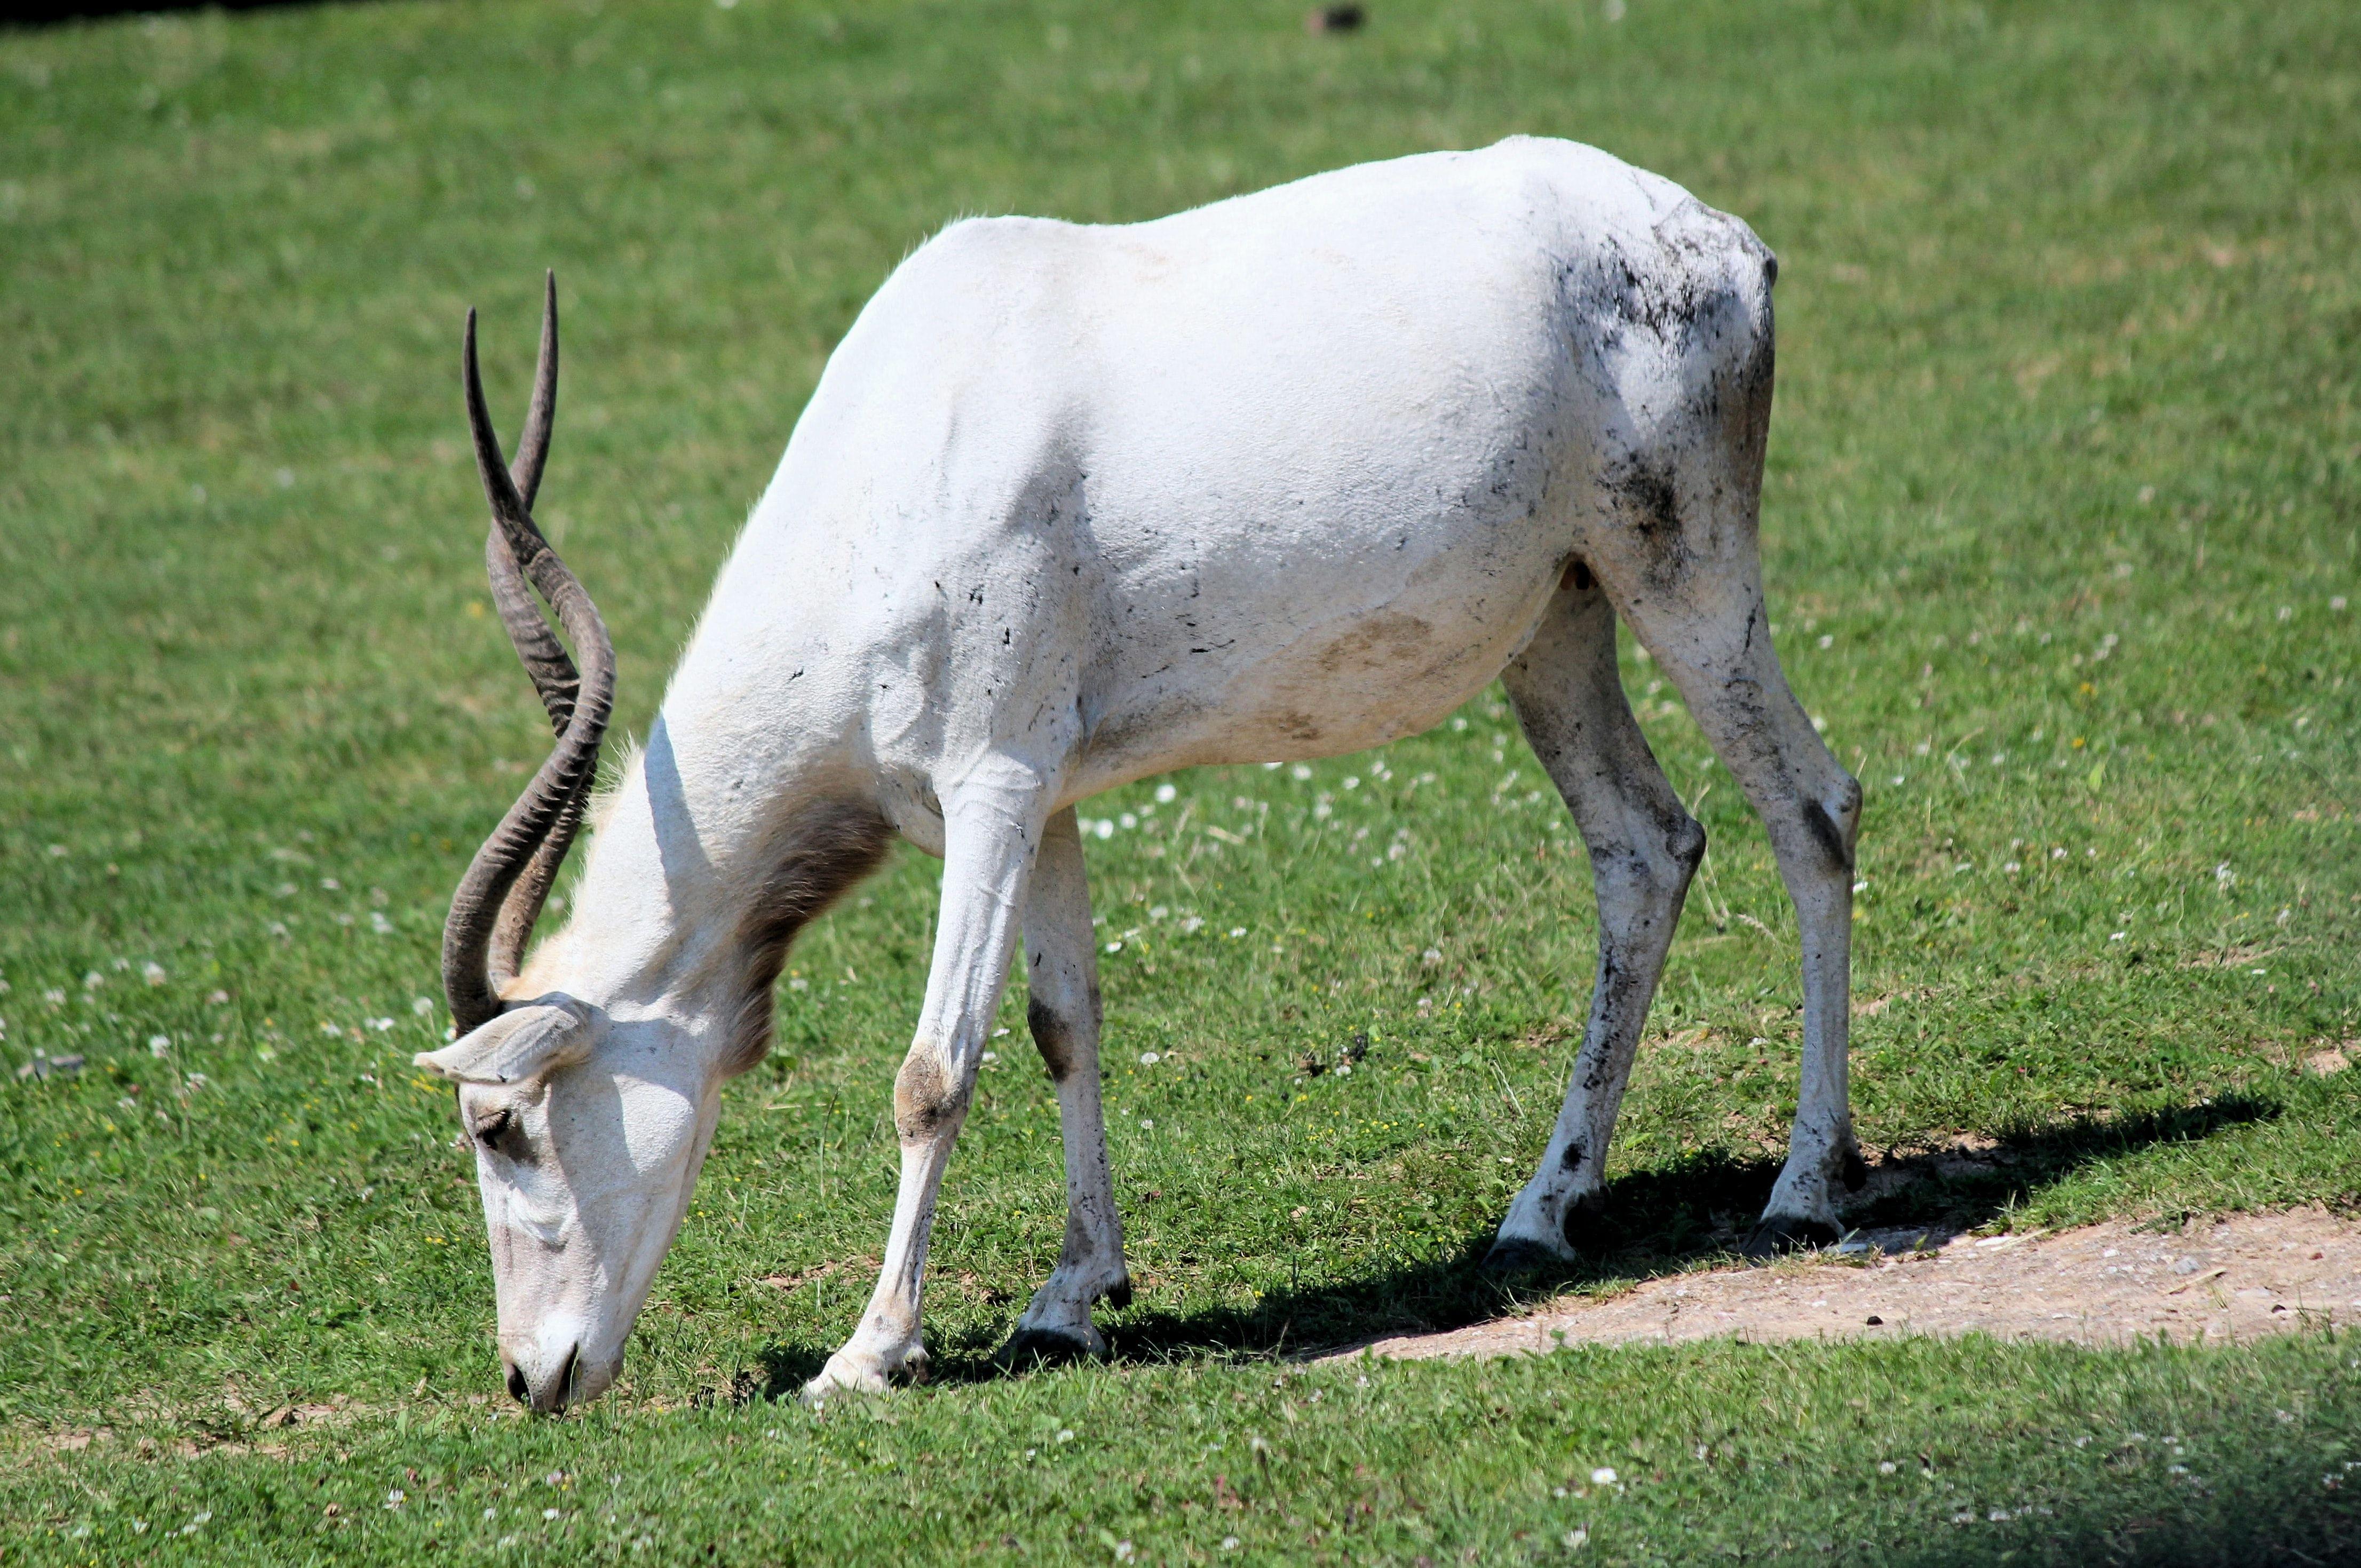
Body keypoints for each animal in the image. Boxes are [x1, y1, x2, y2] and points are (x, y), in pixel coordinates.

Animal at [420, 137, 1860, 1407]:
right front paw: (1070, 1298)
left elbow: (933, 1070)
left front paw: (869, 1352)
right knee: (1645, 847)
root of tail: (1721, 240)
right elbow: (1065, 1022)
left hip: (1683, 572)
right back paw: (1543, 1207)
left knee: (1812, 808)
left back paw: (1806, 1184)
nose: (532, 1377)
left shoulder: (992, 783)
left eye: (501, 1123)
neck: (898, 464)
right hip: (1559, 618)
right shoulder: (1042, 793)